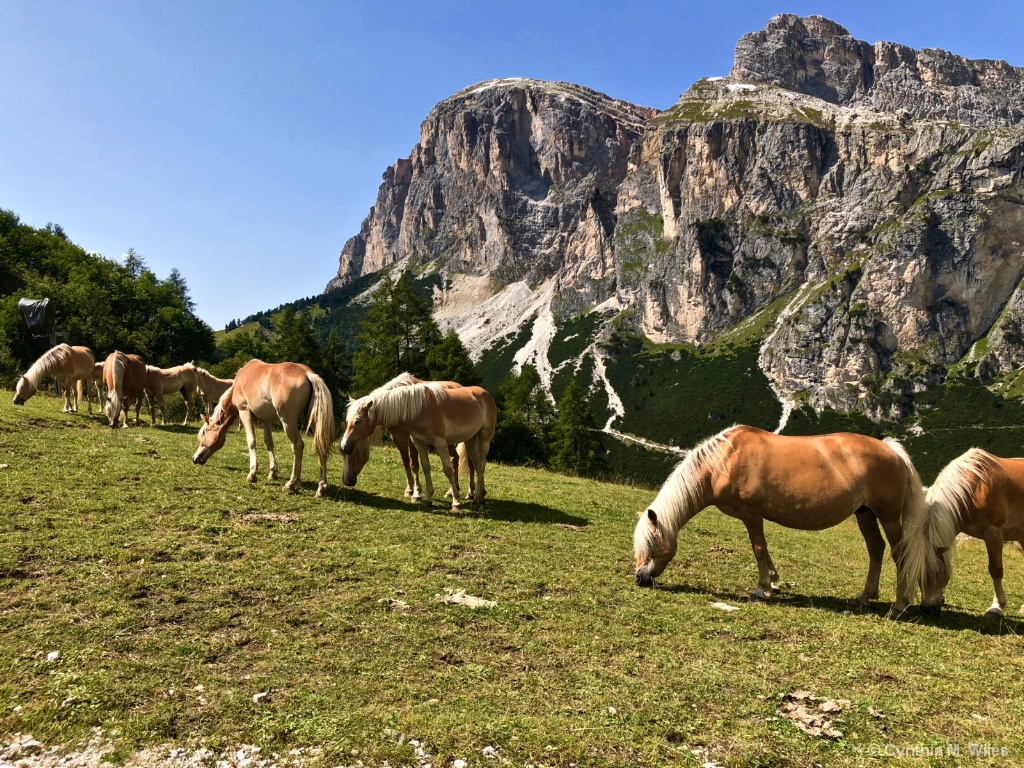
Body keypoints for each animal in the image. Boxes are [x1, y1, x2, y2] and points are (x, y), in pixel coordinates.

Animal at [192, 360, 335, 499]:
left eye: (204, 433)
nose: (195, 458)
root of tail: (307, 374)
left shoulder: (245, 412)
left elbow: (251, 441)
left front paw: (252, 474)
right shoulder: (265, 419)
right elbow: (269, 443)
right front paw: (273, 472)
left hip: (287, 422)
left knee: (297, 446)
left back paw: (291, 483)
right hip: (314, 420)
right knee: (320, 447)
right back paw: (320, 488)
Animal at [339, 380, 495, 512]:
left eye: (358, 421)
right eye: (347, 420)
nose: (344, 446)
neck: (420, 409)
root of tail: (484, 393)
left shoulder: (439, 443)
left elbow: (447, 470)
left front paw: (456, 503)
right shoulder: (419, 442)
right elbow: (425, 467)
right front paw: (426, 498)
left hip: (484, 439)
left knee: (480, 464)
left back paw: (475, 496)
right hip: (470, 440)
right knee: (476, 463)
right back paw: (479, 494)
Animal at [630, 423, 929, 618]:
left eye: (651, 545)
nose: (640, 578)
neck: (724, 460)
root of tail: (893, 451)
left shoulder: (751, 514)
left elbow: (758, 548)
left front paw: (761, 589)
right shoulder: (752, 515)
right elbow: (765, 550)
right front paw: (773, 583)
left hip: (888, 516)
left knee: (899, 554)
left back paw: (899, 606)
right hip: (865, 513)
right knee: (875, 549)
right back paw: (865, 597)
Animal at [909, 450, 1024, 618]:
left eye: (937, 571)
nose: (927, 609)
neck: (976, 487)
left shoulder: (993, 534)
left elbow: (996, 570)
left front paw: (996, 607)